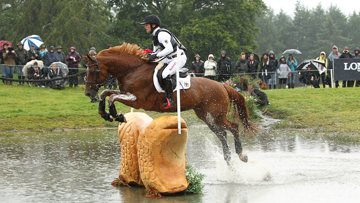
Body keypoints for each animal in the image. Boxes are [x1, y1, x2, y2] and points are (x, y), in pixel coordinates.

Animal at [83, 42, 258, 163]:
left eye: (92, 71)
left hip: (216, 115)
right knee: (222, 134)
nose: (88, 93)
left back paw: (241, 155)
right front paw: (104, 113)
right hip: (206, 116)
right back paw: (228, 158)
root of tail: (222, 85)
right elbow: (106, 93)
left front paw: (116, 115)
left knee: (233, 127)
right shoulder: (127, 94)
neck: (133, 71)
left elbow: (112, 97)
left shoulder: (137, 100)